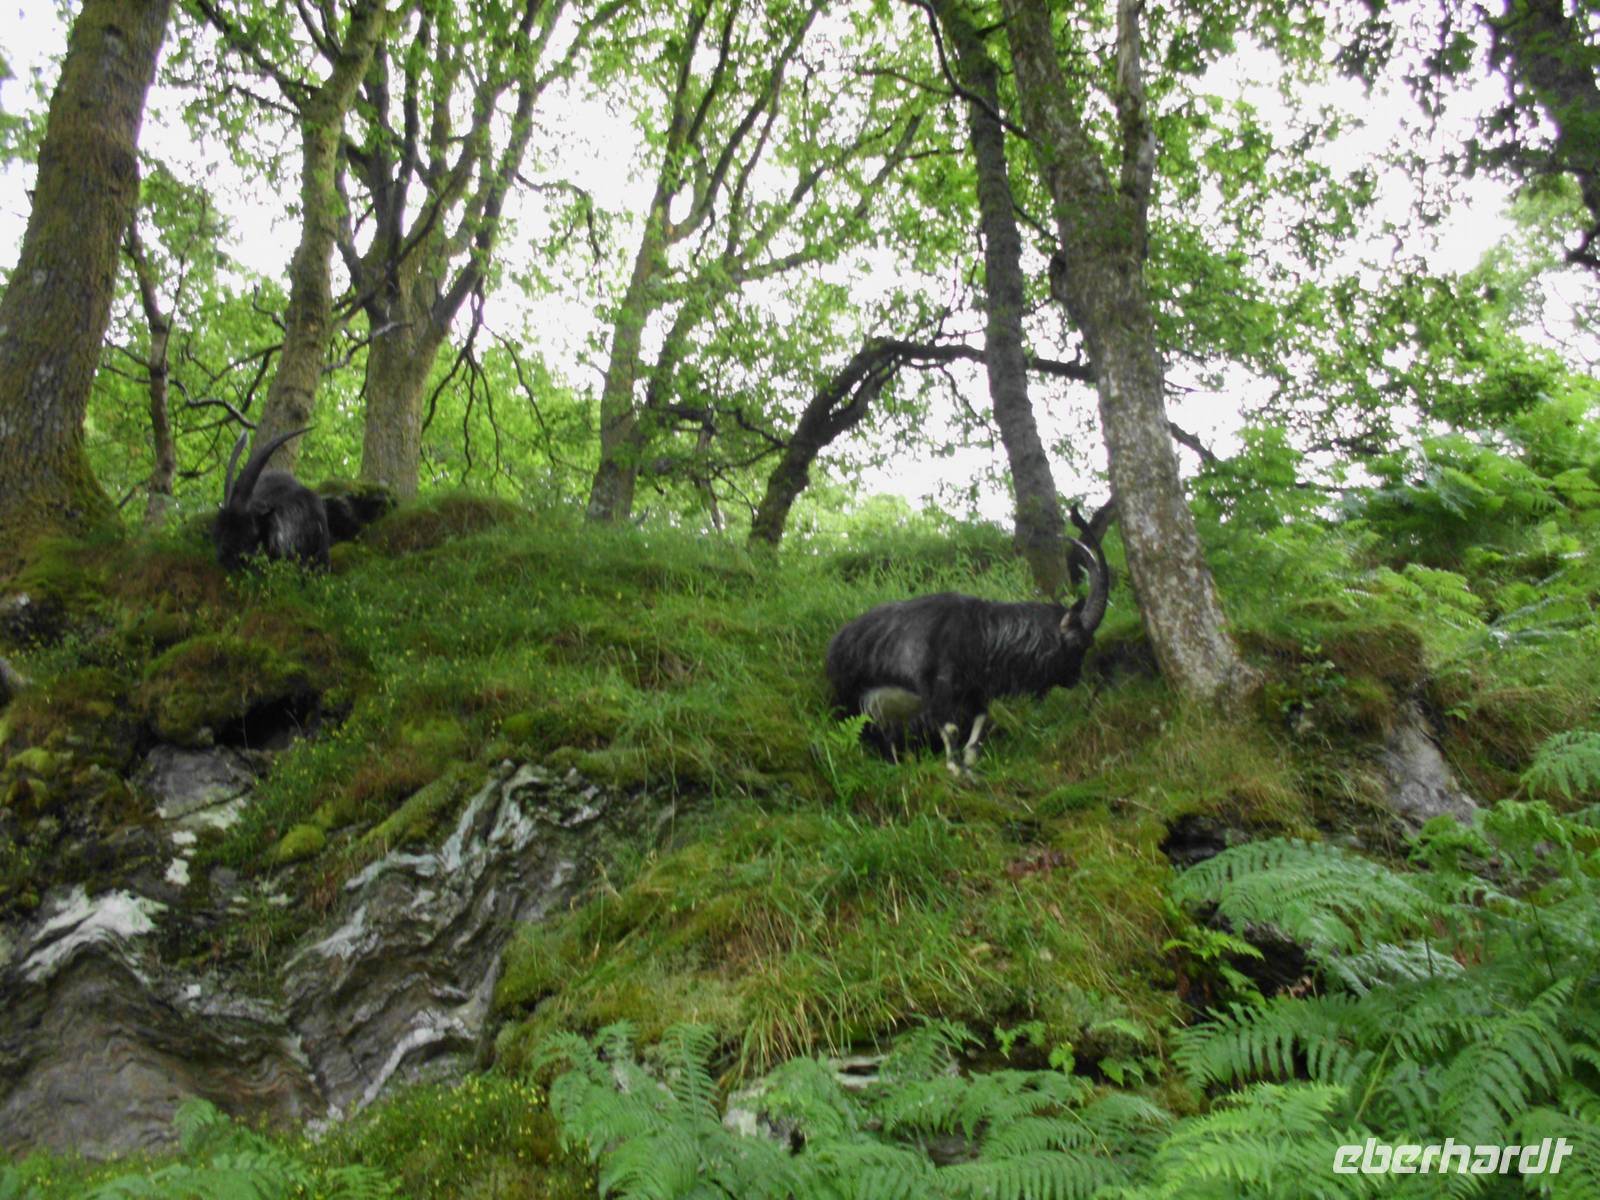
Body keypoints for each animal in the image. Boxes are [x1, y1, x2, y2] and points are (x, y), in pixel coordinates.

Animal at [826, 506, 1112, 773]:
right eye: (1078, 644)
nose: (1074, 679)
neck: (982, 634)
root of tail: (837, 643)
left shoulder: (976, 693)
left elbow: (979, 724)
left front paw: (970, 761)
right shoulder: (938, 690)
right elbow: (950, 728)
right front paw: (956, 769)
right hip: (854, 702)